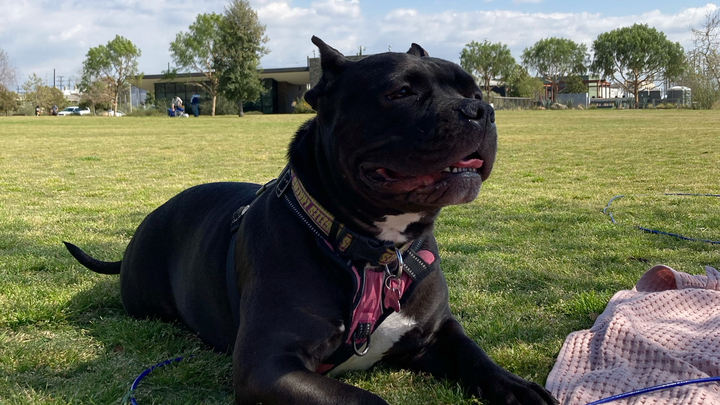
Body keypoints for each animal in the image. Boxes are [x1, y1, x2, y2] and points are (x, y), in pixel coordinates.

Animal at [65, 36, 556, 405]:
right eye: (401, 92)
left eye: (475, 93)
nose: (481, 111)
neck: (376, 253)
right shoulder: (268, 366)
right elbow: (366, 401)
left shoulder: (438, 333)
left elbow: (477, 357)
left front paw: (518, 387)